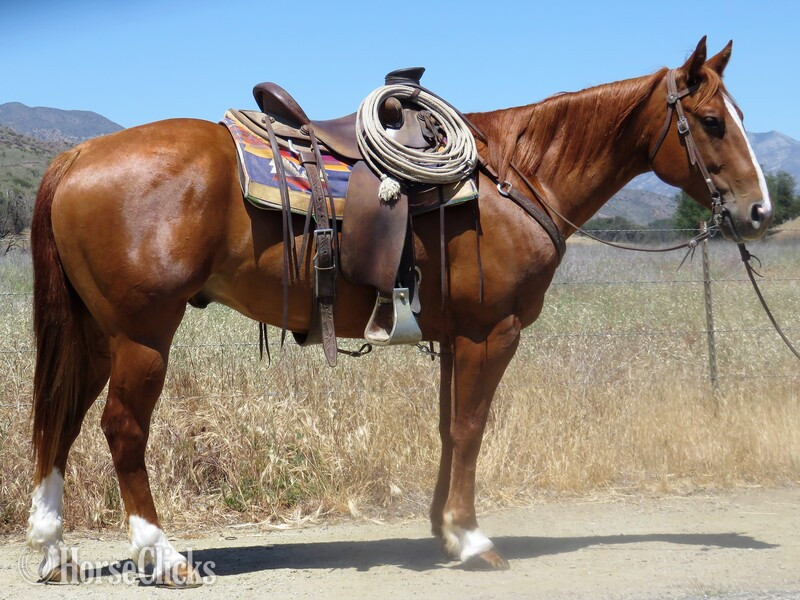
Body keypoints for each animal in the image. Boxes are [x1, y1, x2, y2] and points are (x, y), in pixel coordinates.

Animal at [25, 37, 771, 585]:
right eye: (711, 122)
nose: (761, 211)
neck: (516, 175)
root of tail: (78, 154)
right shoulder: (491, 333)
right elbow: (471, 429)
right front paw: (471, 540)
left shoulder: (456, 336)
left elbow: (448, 430)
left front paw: (443, 531)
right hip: (143, 333)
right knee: (122, 429)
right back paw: (163, 555)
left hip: (96, 333)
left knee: (63, 419)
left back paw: (53, 548)